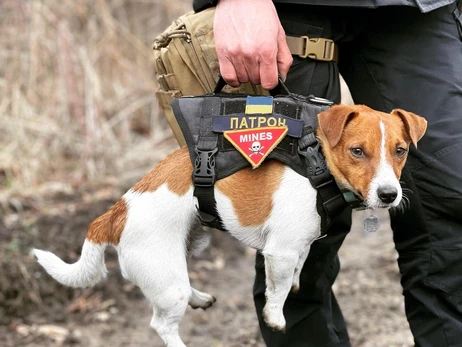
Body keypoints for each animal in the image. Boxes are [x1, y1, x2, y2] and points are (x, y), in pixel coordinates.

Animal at [34, 104, 428, 346]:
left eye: (400, 150)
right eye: (357, 151)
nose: (389, 195)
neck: (319, 166)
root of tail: (116, 212)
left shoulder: (296, 248)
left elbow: (296, 270)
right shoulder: (279, 251)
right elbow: (277, 293)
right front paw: (275, 315)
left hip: (183, 252)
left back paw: (199, 297)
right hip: (165, 276)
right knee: (161, 324)